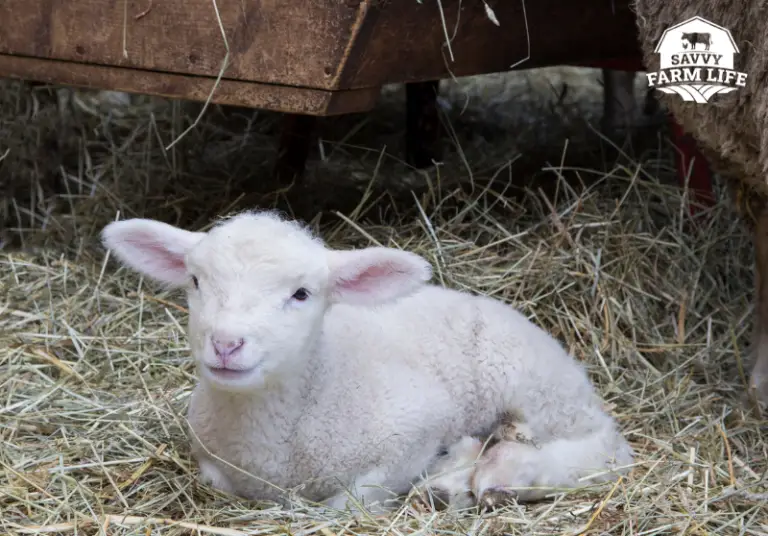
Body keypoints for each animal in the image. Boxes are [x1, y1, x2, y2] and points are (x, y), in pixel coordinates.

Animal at [100, 211, 634, 513]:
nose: (227, 344)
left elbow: (348, 501)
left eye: (301, 293)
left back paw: (502, 474)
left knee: (604, 451)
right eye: (195, 281)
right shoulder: (210, 457)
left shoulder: (415, 425)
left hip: (536, 386)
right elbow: (217, 479)